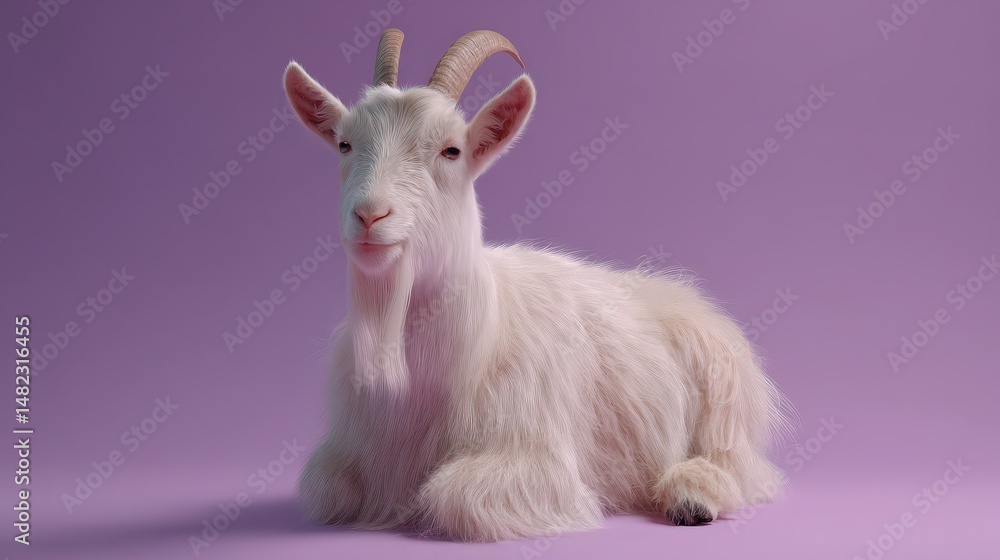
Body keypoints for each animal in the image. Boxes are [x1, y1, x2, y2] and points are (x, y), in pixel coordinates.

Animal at [285, 28, 789, 542]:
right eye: (345, 145)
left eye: (451, 150)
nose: (370, 215)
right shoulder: (347, 450)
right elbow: (329, 484)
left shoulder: (539, 456)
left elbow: (451, 493)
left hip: (722, 393)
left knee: (739, 464)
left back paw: (691, 493)